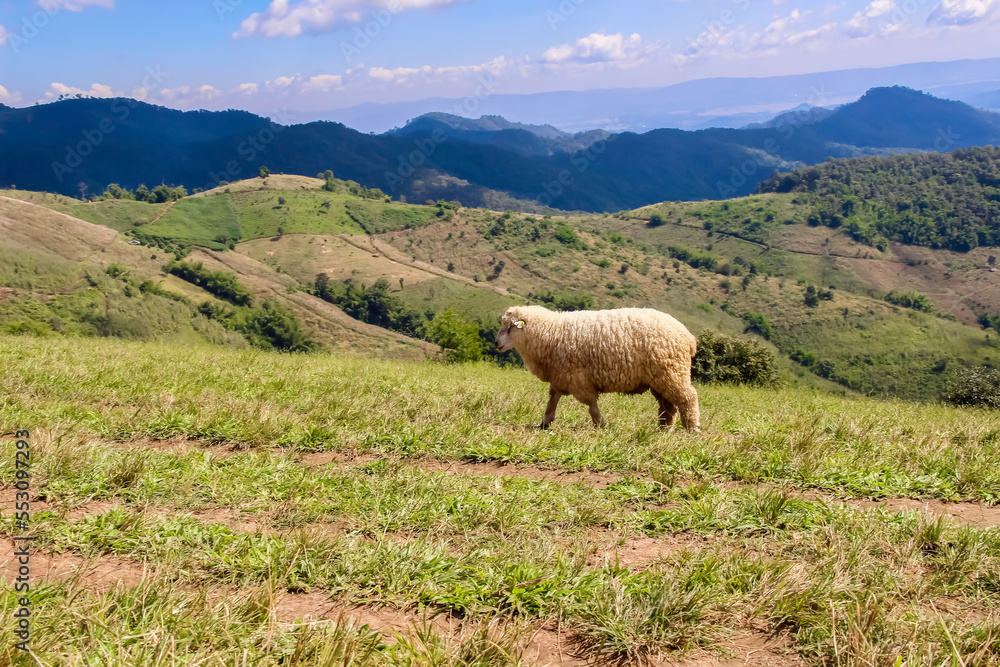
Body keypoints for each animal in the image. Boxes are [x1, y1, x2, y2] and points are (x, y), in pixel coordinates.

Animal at [496, 305, 700, 431]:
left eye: (510, 327)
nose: (496, 343)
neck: (550, 333)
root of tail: (688, 337)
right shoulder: (561, 376)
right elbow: (552, 399)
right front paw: (545, 423)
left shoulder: (578, 378)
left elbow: (591, 405)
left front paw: (600, 425)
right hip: (660, 378)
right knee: (669, 408)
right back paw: (663, 431)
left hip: (672, 372)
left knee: (688, 398)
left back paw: (693, 429)